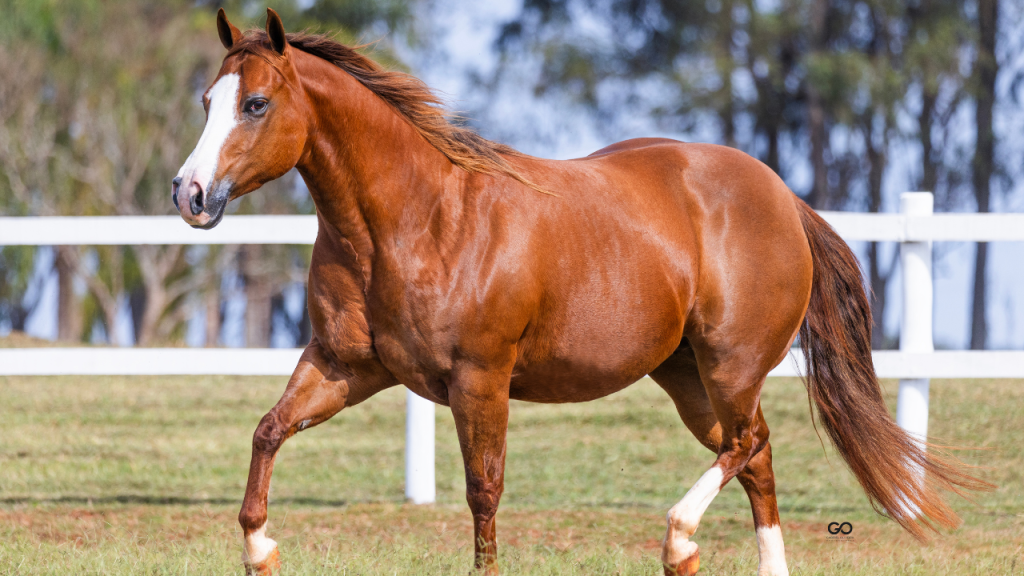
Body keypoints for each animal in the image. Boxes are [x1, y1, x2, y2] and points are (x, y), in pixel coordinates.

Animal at [174, 8, 983, 573]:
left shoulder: (480, 379)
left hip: (731, 365)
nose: (190, 193)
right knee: (756, 458)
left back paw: (678, 540)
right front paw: (260, 552)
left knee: (748, 445)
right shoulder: (346, 366)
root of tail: (782, 196)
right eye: (207, 100)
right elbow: (267, 432)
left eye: (255, 104)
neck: (415, 220)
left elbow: (484, 493)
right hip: (688, 377)